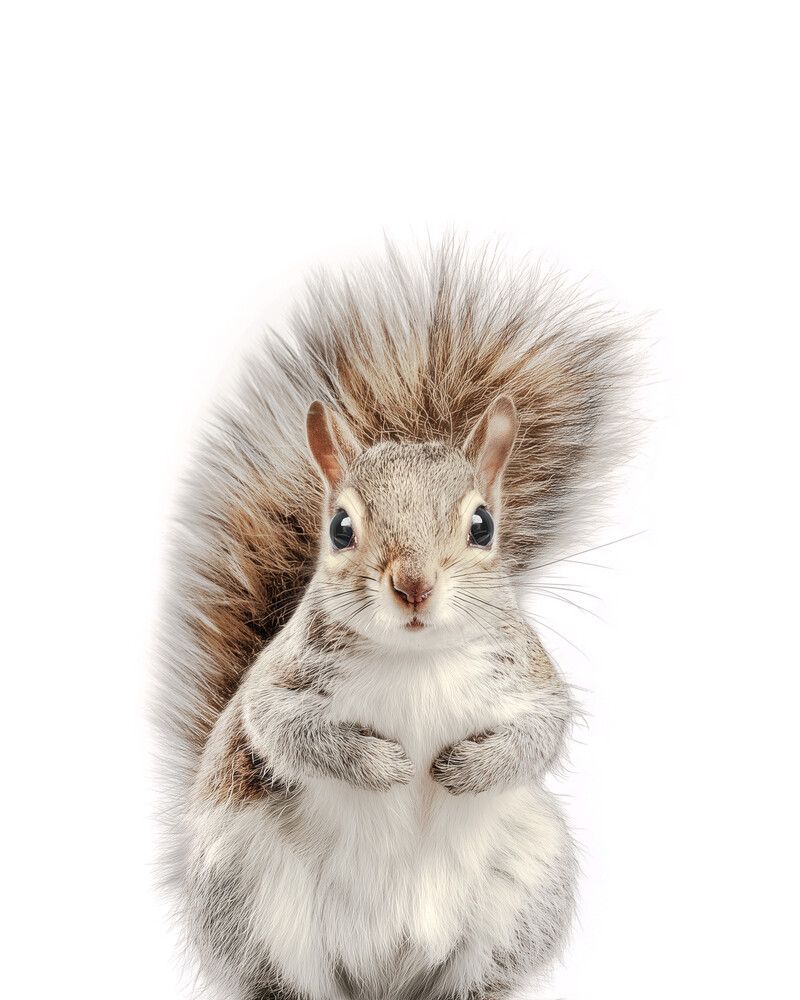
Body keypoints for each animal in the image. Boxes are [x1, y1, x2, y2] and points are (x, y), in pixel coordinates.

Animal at [154, 241, 638, 1000]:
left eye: (483, 525)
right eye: (340, 528)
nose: (413, 585)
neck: (416, 660)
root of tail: (386, 976)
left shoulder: (529, 677)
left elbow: (540, 731)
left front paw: (463, 768)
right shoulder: (279, 683)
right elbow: (282, 728)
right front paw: (383, 764)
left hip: (523, 892)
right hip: (251, 899)